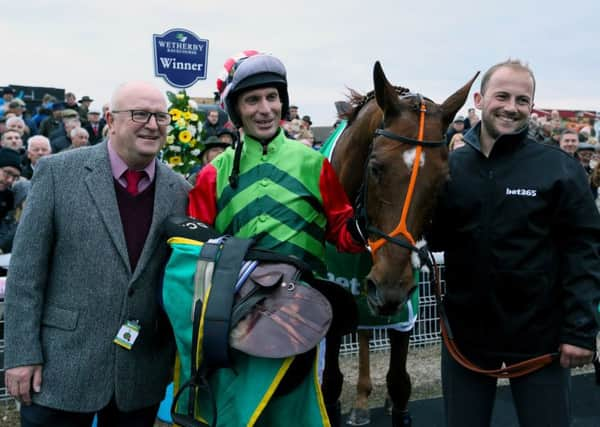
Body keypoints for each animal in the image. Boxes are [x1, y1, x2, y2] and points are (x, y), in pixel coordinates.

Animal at [322, 63, 476, 427]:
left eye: (443, 180)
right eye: (376, 167)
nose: (388, 288)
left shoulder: (404, 311)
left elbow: (399, 382)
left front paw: (395, 401)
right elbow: (331, 383)